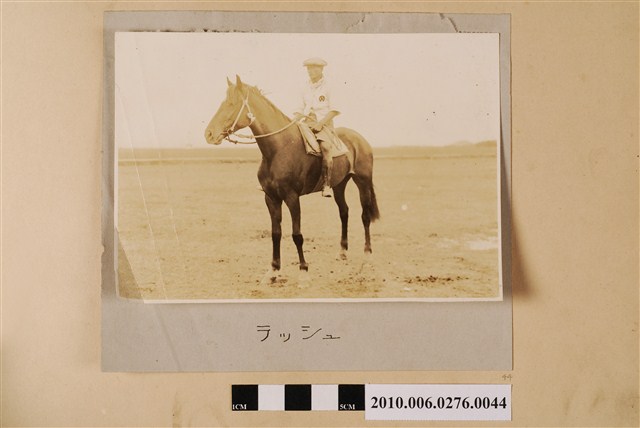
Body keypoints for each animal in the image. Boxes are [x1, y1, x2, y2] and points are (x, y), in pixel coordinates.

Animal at [204, 75, 379, 276]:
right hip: (339, 185)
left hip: (363, 181)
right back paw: (342, 251)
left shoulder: (292, 197)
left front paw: (303, 267)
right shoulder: (271, 198)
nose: (209, 134)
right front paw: (274, 269)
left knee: (365, 216)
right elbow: (276, 233)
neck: (279, 148)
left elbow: (297, 234)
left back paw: (367, 254)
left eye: (232, 104)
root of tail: (360, 139)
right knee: (344, 212)